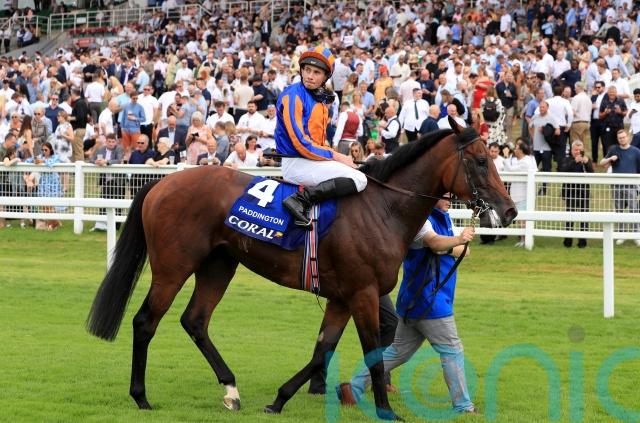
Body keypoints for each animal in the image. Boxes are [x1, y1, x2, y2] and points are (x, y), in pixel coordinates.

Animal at [86, 119, 517, 421]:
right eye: (481, 161)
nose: (510, 210)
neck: (383, 209)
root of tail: (161, 185)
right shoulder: (362, 293)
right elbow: (372, 351)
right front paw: (385, 411)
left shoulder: (343, 297)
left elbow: (322, 349)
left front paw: (278, 400)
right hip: (173, 267)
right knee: (145, 321)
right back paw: (141, 397)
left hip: (218, 265)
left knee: (195, 321)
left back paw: (231, 390)